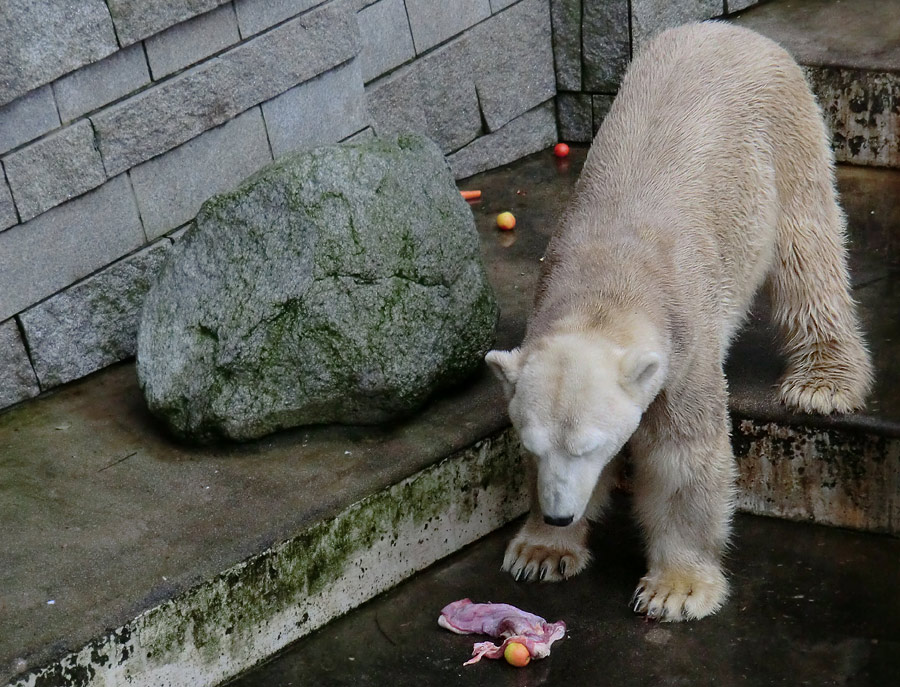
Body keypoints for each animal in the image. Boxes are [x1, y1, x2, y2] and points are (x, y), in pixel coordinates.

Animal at [486, 21, 872, 624]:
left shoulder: (684, 345)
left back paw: (823, 382)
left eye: (590, 446)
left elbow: (682, 456)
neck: (606, 282)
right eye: (533, 444)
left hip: (784, 136)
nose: (558, 515)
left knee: (807, 255)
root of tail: (732, 29)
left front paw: (677, 588)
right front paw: (540, 551)